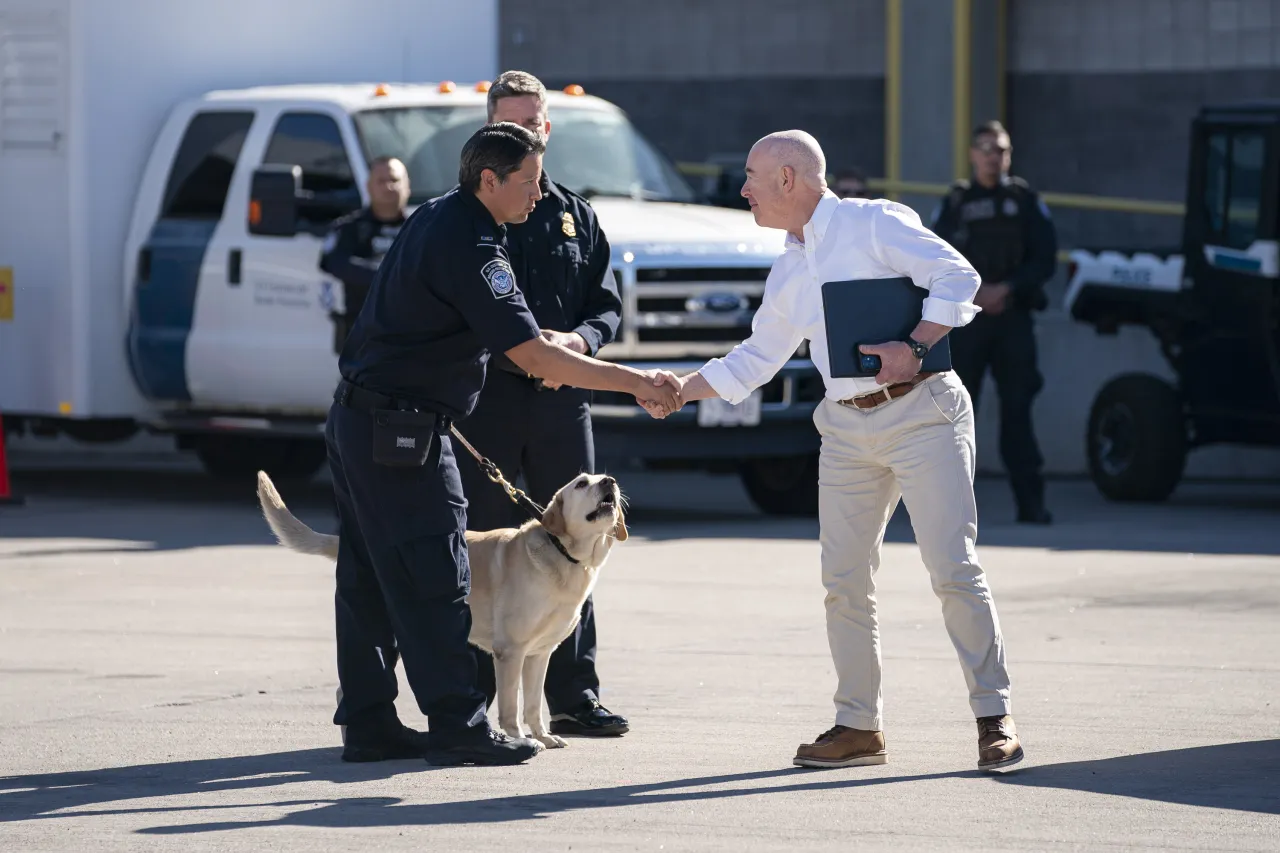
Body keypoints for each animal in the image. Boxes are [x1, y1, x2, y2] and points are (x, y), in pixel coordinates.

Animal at [253, 468, 624, 747]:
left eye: (601, 478)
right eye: (581, 483)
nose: (610, 481)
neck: (565, 554)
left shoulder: (539, 653)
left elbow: (532, 703)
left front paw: (544, 736)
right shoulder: (511, 651)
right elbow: (511, 704)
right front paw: (520, 739)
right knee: (348, 688)